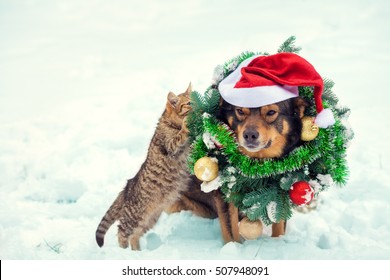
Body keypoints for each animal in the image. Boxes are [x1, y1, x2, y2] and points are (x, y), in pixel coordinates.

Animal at [95, 83, 192, 249]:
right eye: (188, 103)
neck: (171, 123)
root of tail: (126, 189)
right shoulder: (171, 147)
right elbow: (179, 137)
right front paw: (187, 124)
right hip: (135, 216)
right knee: (122, 232)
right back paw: (124, 252)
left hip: (150, 218)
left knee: (134, 235)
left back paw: (137, 251)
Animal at [169, 95, 310, 243]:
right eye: (240, 111)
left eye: (271, 112)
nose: (250, 135)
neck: (255, 169)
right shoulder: (226, 196)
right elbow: (232, 233)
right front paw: (234, 247)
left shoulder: (280, 193)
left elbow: (279, 225)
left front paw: (278, 243)